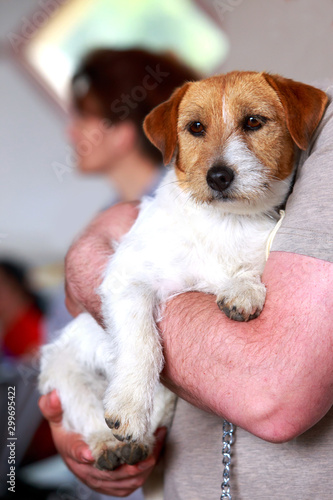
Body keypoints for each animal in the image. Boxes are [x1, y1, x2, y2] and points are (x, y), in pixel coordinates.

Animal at [39, 72, 326, 486]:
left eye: (253, 122)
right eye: (196, 127)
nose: (218, 177)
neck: (226, 222)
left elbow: (249, 268)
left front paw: (243, 288)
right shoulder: (126, 279)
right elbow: (142, 341)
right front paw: (129, 404)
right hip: (63, 369)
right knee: (84, 408)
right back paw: (108, 443)